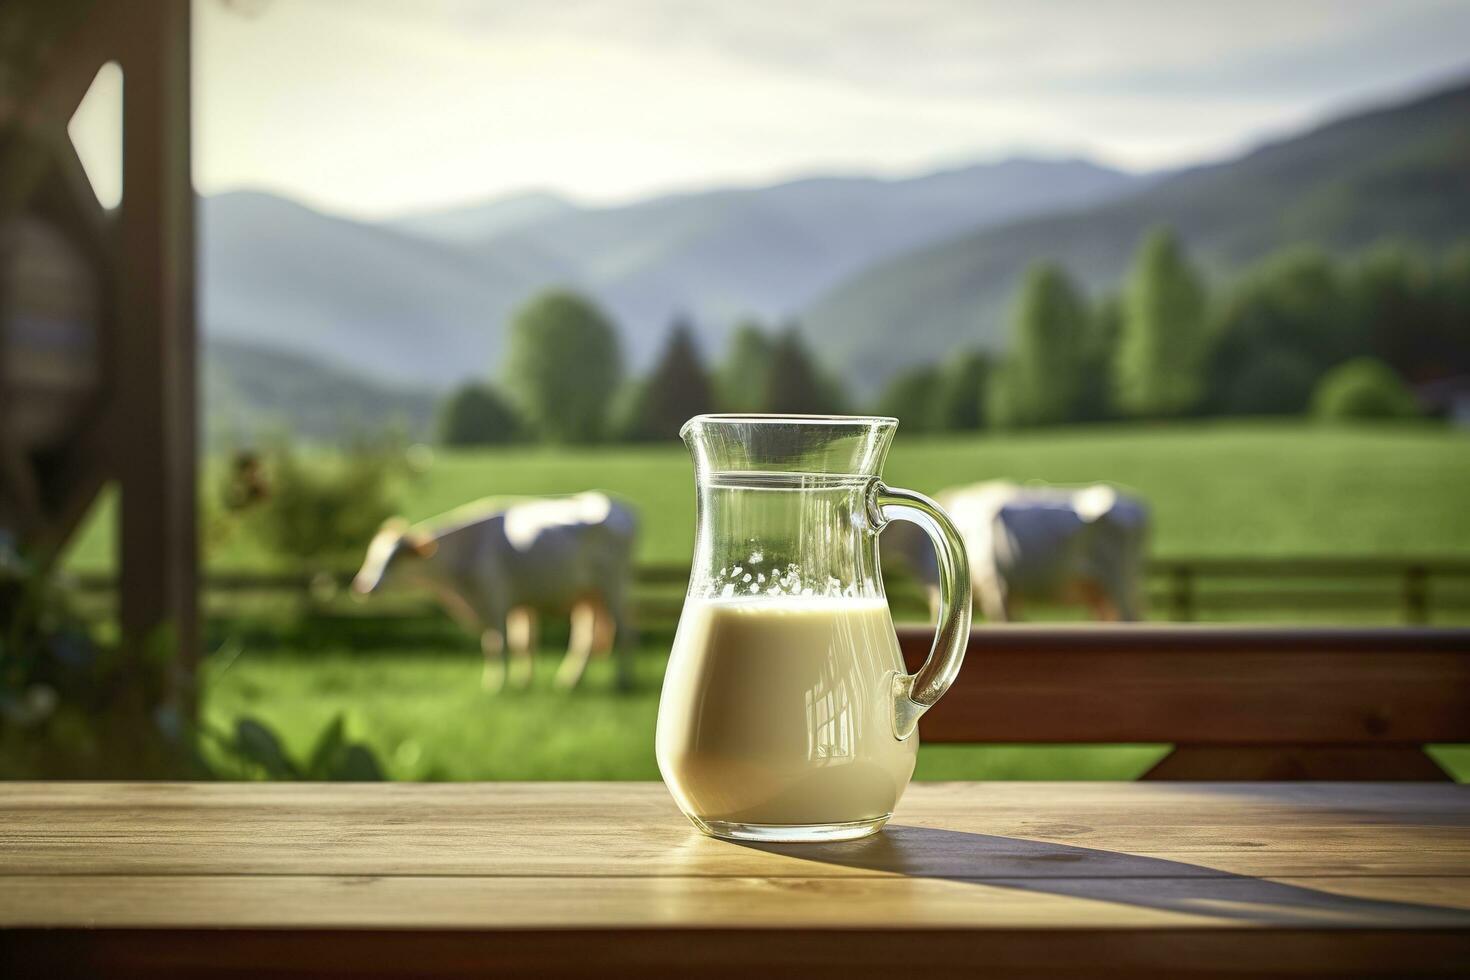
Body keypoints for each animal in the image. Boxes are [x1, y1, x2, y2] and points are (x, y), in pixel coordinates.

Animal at [354, 493, 637, 693]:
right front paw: (523, 682)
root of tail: (623, 507)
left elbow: (496, 643)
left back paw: (622, 681)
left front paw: (496, 685)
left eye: (394, 559)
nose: (364, 585)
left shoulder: (494, 599)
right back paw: (569, 681)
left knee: (624, 631)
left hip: (614, 585)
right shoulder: (517, 605)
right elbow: (523, 643)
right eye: (372, 554)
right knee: (585, 638)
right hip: (587, 596)